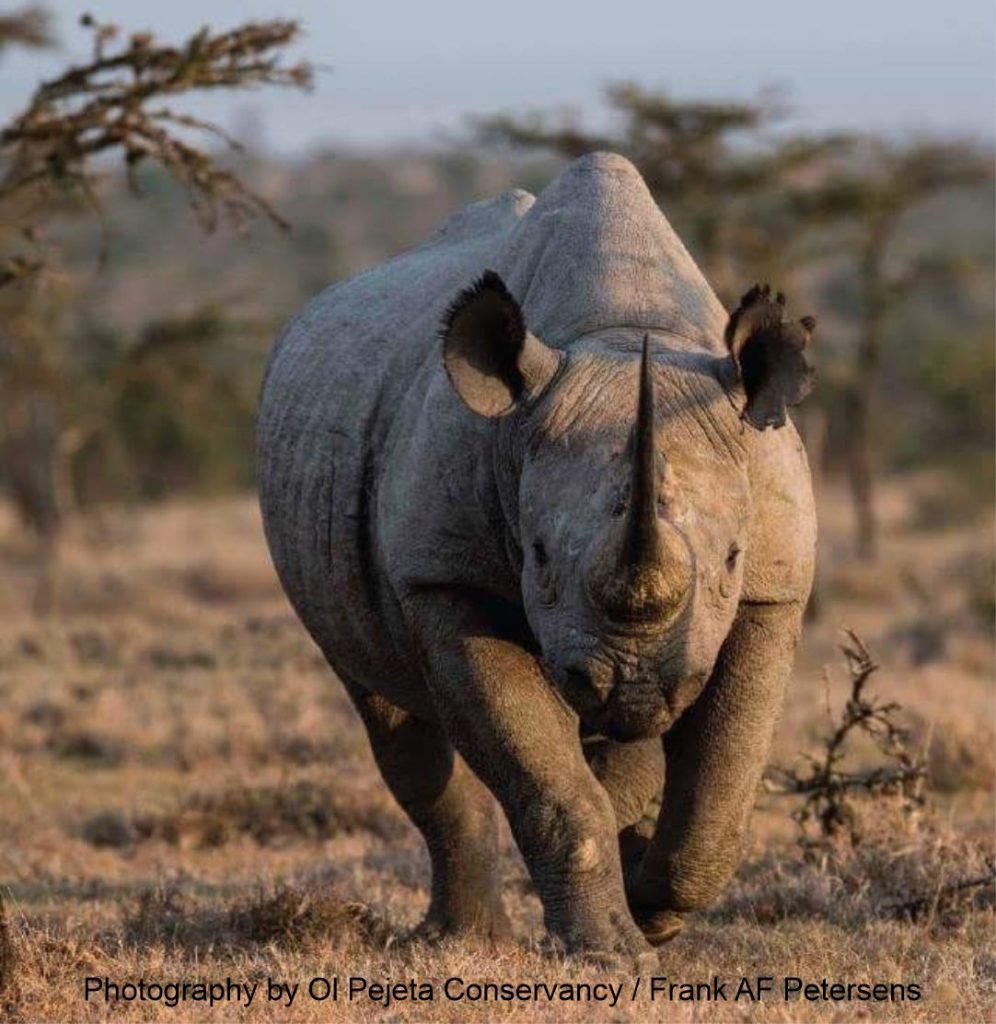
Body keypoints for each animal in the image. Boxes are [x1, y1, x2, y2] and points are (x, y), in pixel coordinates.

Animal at [257, 149, 814, 958]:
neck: (624, 329)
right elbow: (550, 784)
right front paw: (611, 952)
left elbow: (720, 786)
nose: (631, 681)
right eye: (540, 558)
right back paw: (461, 940)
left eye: (734, 561)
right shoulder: (446, 577)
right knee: (395, 721)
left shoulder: (775, 587)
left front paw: (649, 906)